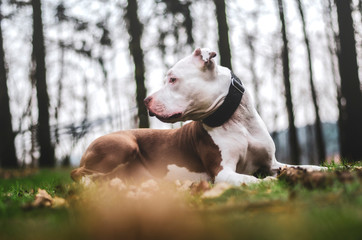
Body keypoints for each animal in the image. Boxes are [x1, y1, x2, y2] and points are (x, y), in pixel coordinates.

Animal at [71, 47, 326, 185]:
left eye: (173, 79)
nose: (146, 101)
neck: (237, 120)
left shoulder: (272, 163)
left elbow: (302, 166)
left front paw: (322, 170)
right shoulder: (222, 172)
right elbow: (251, 179)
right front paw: (269, 182)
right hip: (123, 144)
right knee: (78, 173)